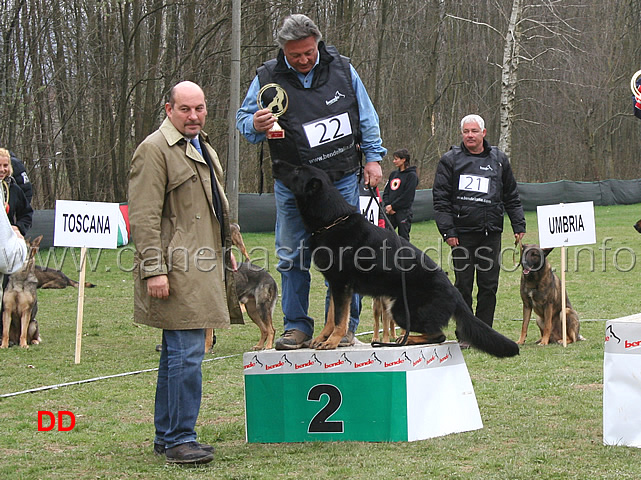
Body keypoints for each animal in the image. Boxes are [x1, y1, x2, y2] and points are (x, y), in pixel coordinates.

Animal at [274, 161, 520, 356]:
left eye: (296, 170)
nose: (277, 161)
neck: (331, 219)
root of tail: (455, 292)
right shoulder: (336, 285)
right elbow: (332, 316)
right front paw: (322, 338)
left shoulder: (341, 286)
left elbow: (340, 319)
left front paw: (333, 341)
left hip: (400, 311)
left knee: (438, 335)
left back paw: (406, 339)